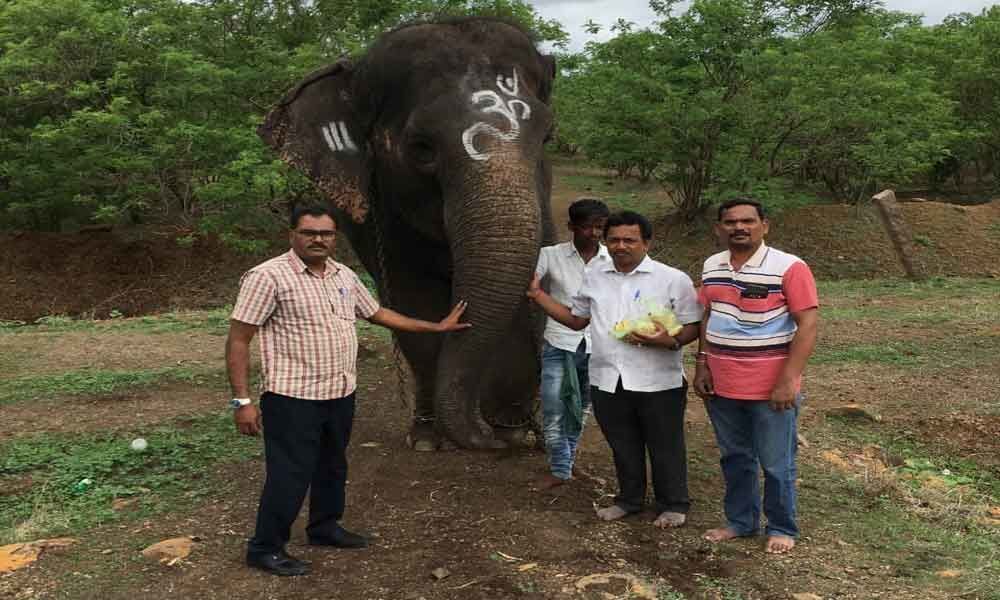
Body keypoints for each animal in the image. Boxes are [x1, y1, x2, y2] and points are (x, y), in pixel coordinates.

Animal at [258, 17, 556, 450]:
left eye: (548, 136)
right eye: (422, 148)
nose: (485, 432)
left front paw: (512, 431)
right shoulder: (382, 217)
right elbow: (413, 302)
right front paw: (432, 438)